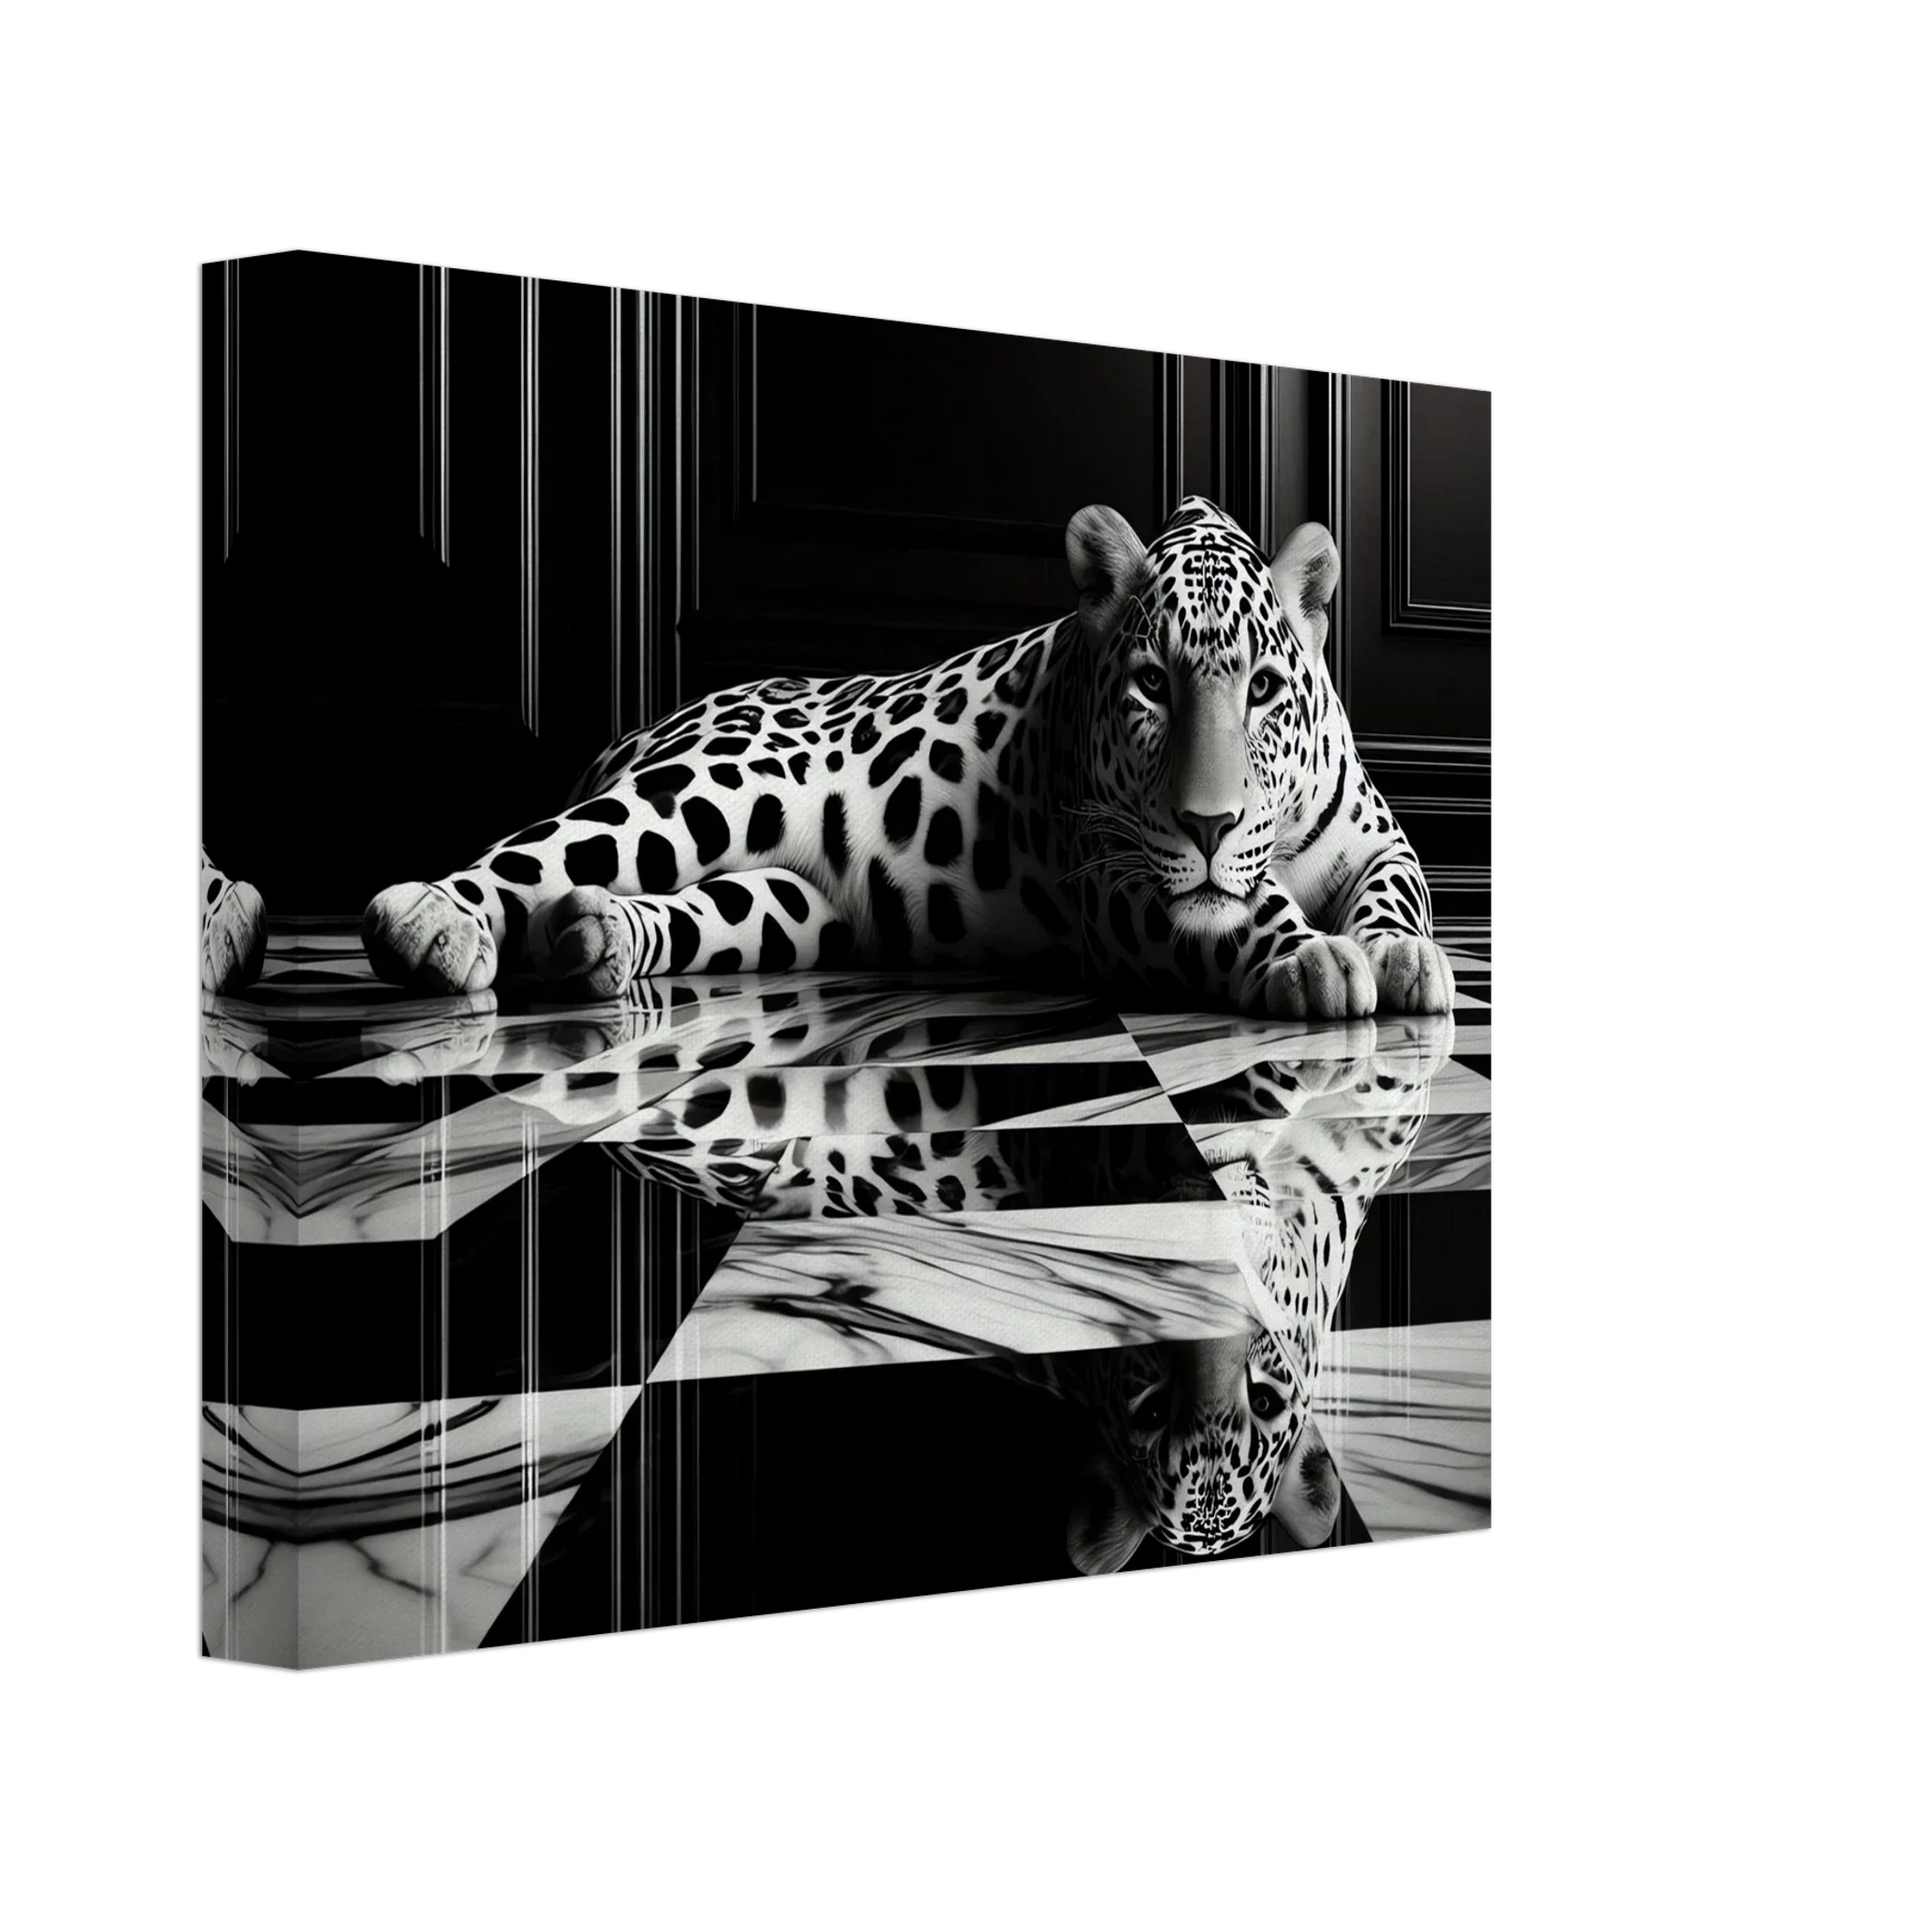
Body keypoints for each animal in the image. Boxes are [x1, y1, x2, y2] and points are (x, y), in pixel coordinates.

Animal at [359, 496, 1453, 1020]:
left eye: (1263, 689)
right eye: (1152, 683)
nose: (1209, 823)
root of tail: (642, 728)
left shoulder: (1379, 840)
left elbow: (1398, 891)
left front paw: (1399, 954)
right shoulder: (1126, 883)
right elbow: (1243, 907)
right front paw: (1312, 957)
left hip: (792, 908)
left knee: (685, 903)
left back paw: (598, 938)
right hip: (716, 785)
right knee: (543, 847)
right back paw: (430, 923)